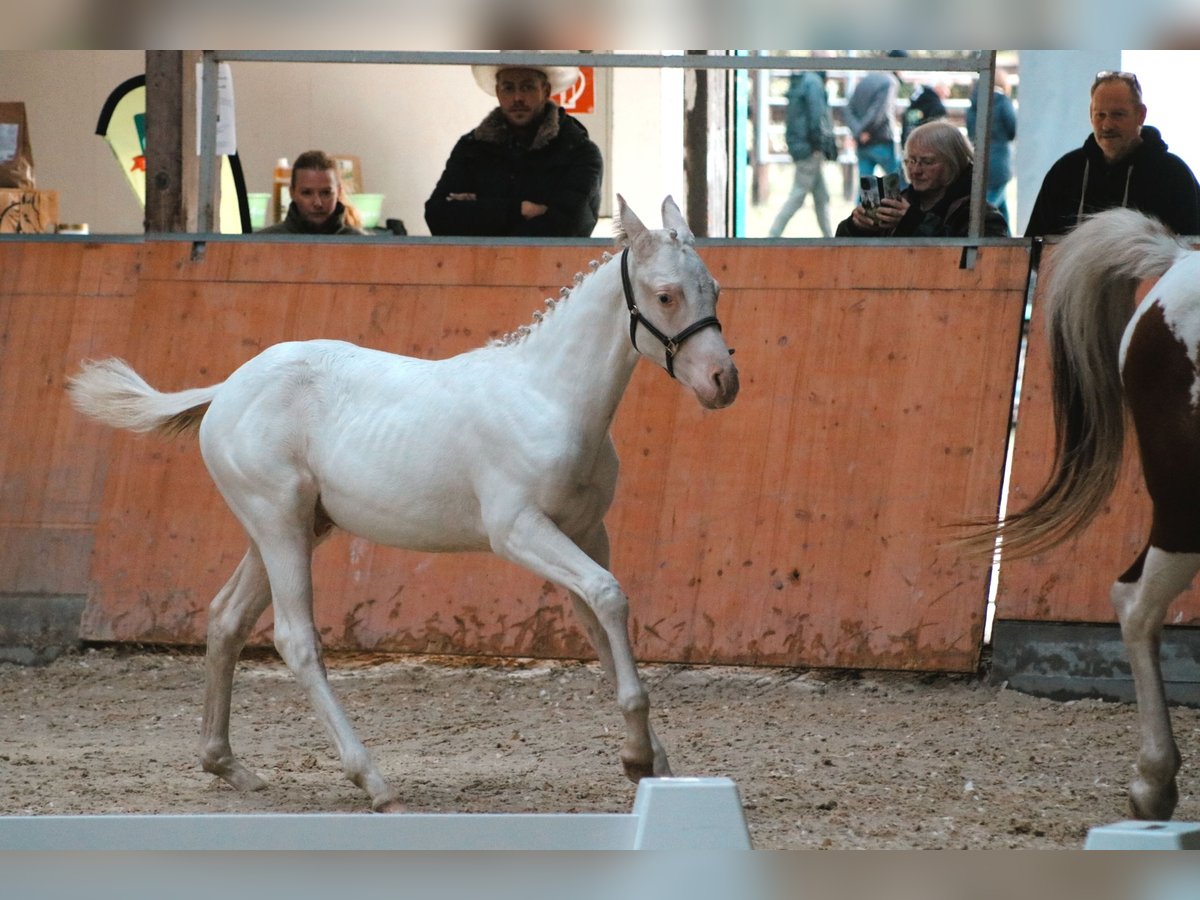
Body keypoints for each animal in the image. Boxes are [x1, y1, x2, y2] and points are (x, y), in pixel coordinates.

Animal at [70, 195, 739, 811]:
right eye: (665, 296)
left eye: (713, 289)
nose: (722, 383)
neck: (548, 398)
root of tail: (228, 388)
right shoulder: (518, 530)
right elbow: (609, 596)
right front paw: (639, 756)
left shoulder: (584, 532)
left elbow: (601, 624)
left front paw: (651, 764)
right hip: (277, 521)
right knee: (295, 639)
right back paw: (375, 783)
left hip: (294, 527)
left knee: (225, 618)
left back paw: (228, 765)